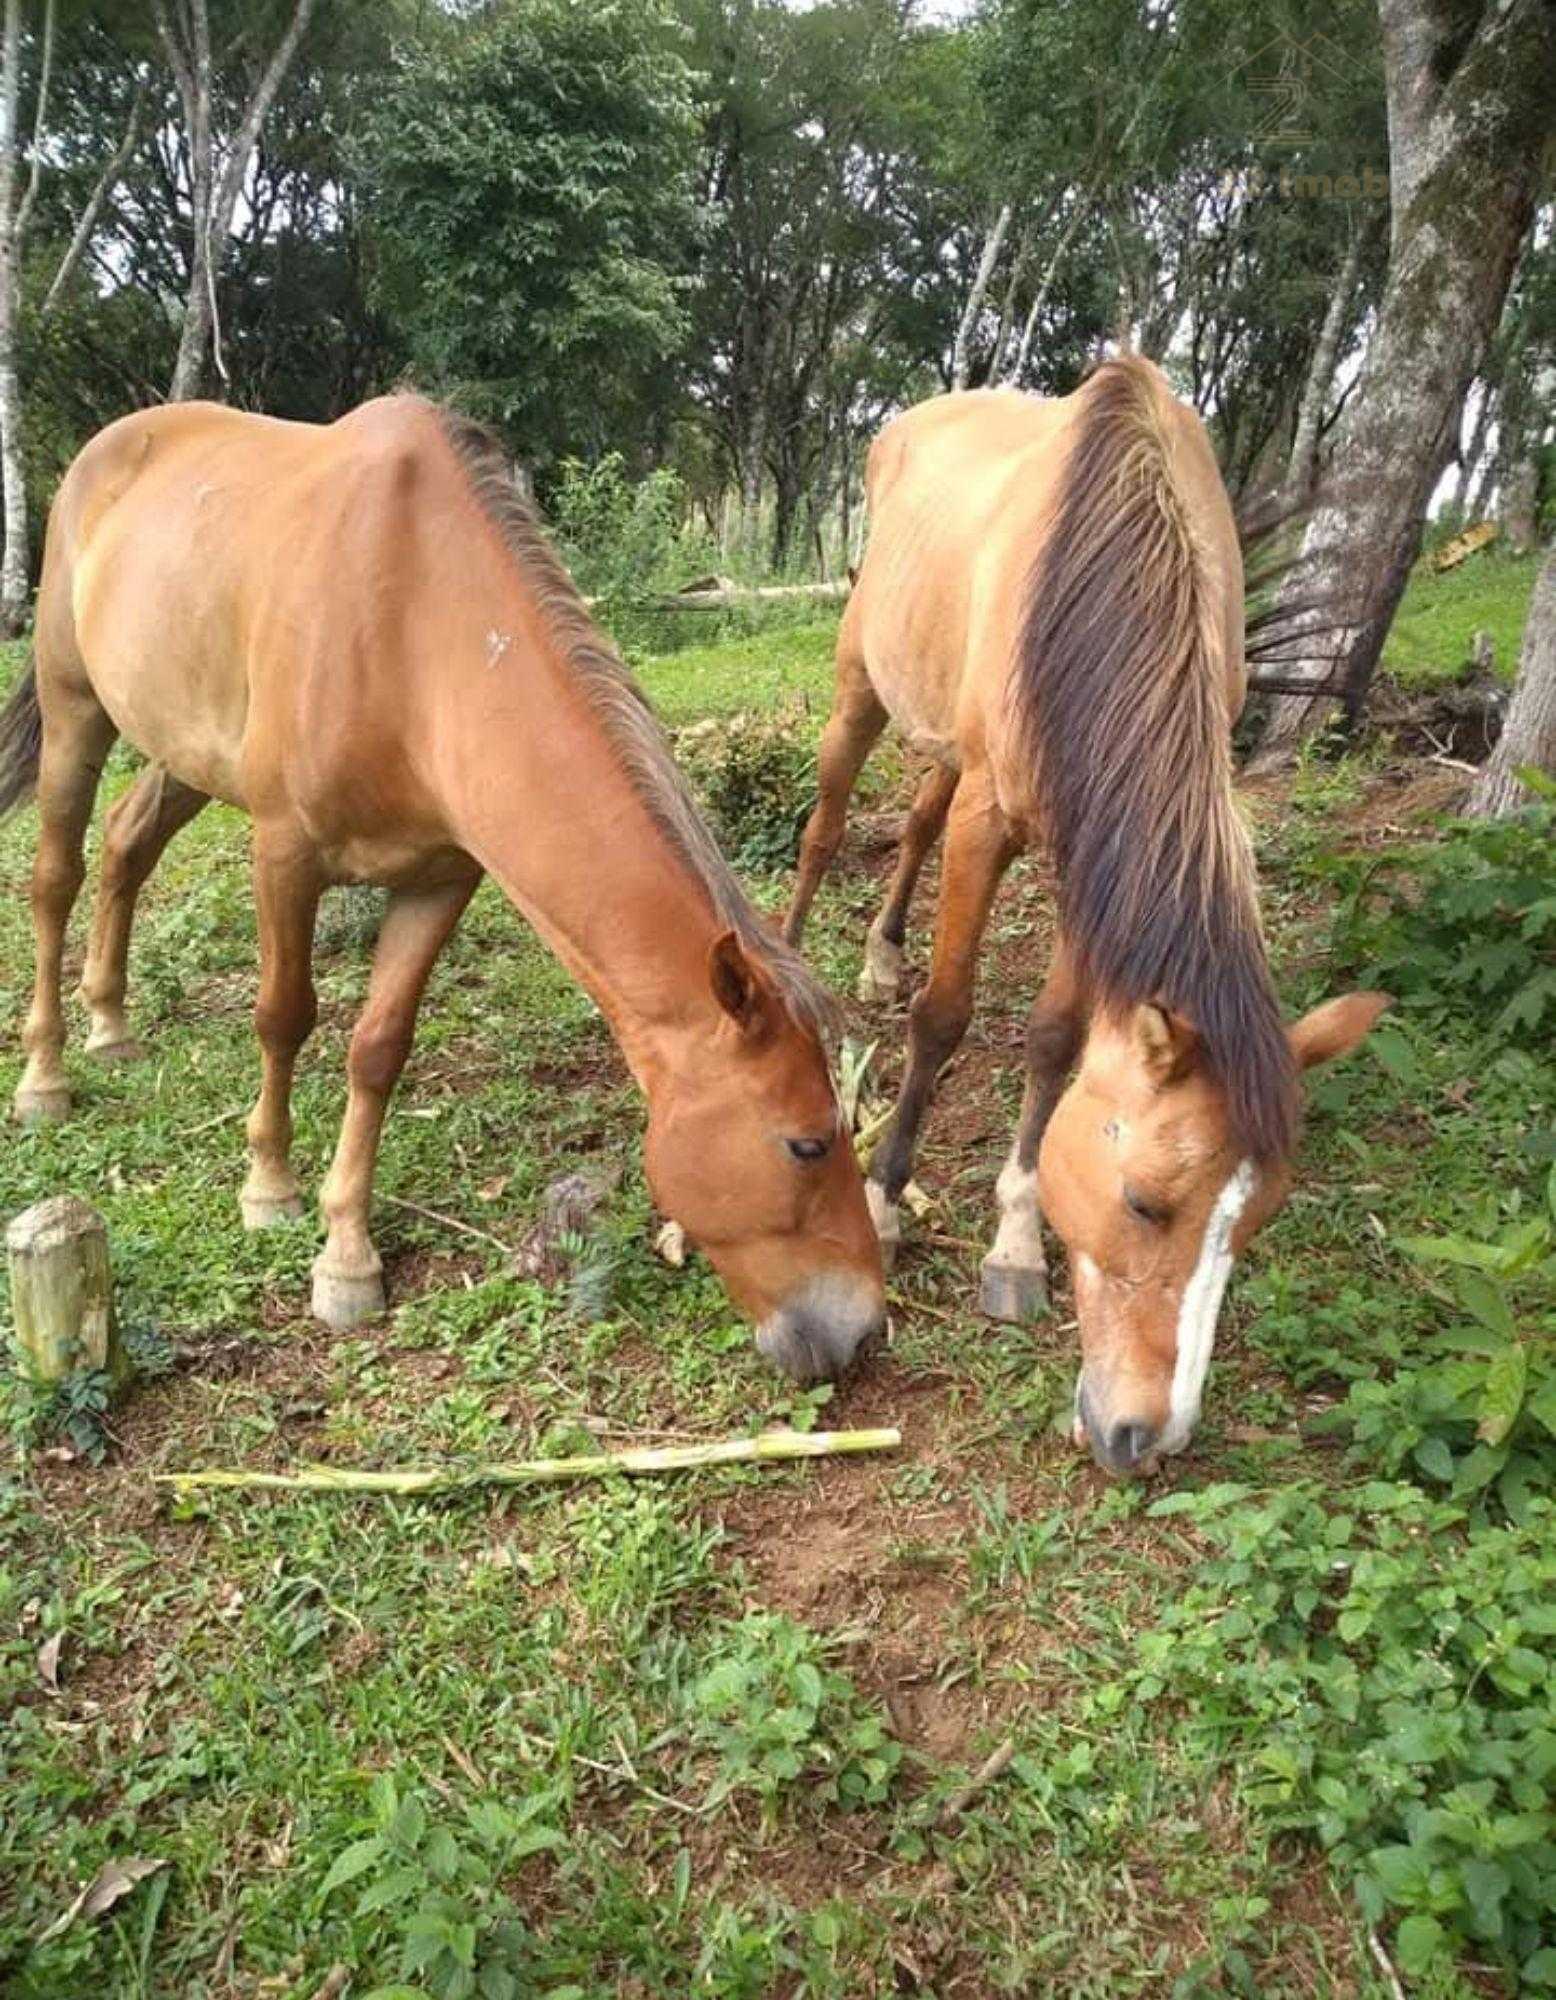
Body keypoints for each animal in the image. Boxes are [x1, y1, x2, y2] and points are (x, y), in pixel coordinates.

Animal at [0, 395, 884, 1382]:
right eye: (806, 1143)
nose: (861, 1328)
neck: (414, 632)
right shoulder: (284, 852)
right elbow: (283, 1017)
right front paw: (269, 1186)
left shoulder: (441, 879)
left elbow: (378, 1049)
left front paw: (347, 1256)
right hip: (77, 710)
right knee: (57, 877)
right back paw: (46, 1075)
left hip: (187, 745)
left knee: (126, 846)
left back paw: (111, 1023)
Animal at [783, 355, 1388, 1473]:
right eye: (1146, 1201)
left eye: (1255, 1222)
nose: (1147, 1435)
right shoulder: (994, 818)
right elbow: (945, 1015)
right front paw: (884, 1200)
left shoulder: (1086, 848)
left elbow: (1058, 1037)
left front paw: (1016, 1241)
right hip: (858, 690)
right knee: (826, 824)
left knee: (916, 816)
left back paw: (882, 951)